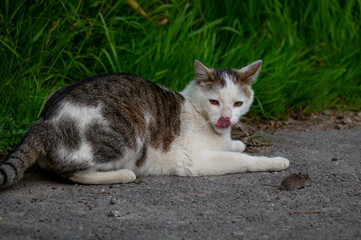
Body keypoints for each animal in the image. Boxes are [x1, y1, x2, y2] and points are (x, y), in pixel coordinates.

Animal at [0, 59, 286, 188]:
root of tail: (44, 119)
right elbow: (243, 160)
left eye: (237, 104)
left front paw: (236, 142)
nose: (225, 118)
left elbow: (233, 147)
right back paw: (123, 174)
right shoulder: (194, 161)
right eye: (214, 102)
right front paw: (275, 161)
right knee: (70, 172)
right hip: (128, 130)